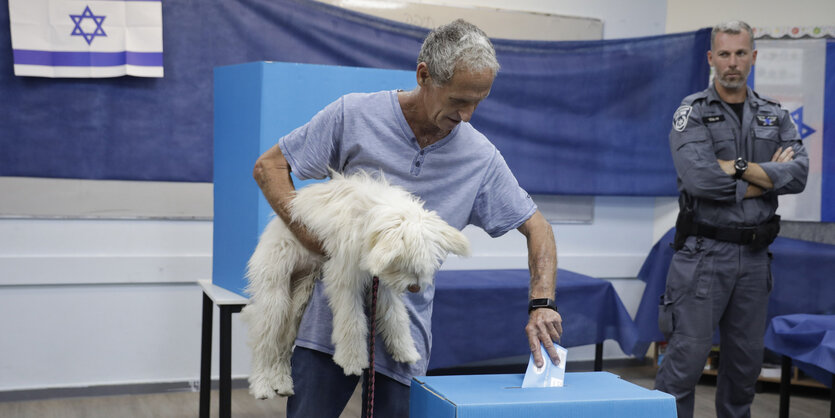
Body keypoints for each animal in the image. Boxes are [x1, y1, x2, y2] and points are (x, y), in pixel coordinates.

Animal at [240, 170, 470, 398]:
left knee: (282, 347)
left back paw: (282, 382)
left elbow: (395, 315)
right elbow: (352, 321)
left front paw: (406, 350)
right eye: (403, 264)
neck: (368, 216)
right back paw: (262, 386)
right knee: (263, 343)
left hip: (299, 300)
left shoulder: (382, 285)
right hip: (275, 298)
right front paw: (352, 361)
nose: (415, 288)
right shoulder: (344, 278)